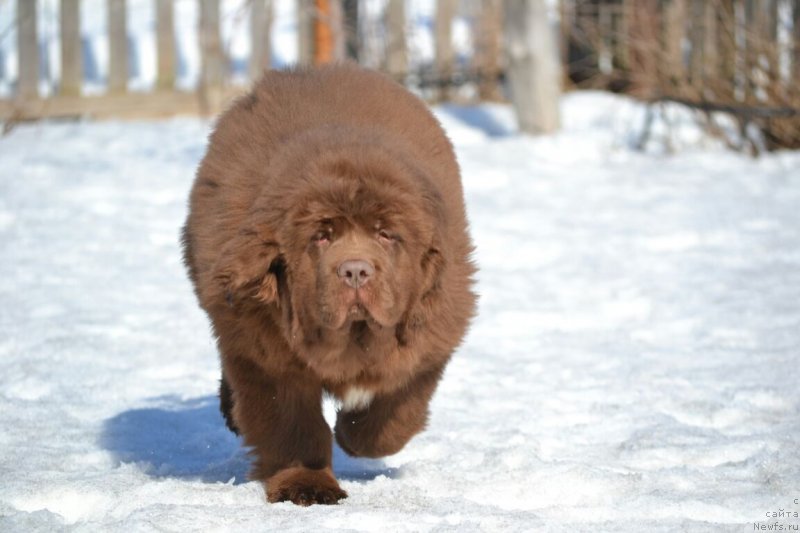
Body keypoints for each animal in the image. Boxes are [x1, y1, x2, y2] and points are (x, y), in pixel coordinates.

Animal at [183, 64, 476, 504]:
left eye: (386, 234)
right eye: (321, 236)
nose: (355, 270)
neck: (351, 337)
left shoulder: (430, 334)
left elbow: (395, 410)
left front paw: (354, 433)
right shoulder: (266, 353)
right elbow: (292, 425)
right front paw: (306, 485)